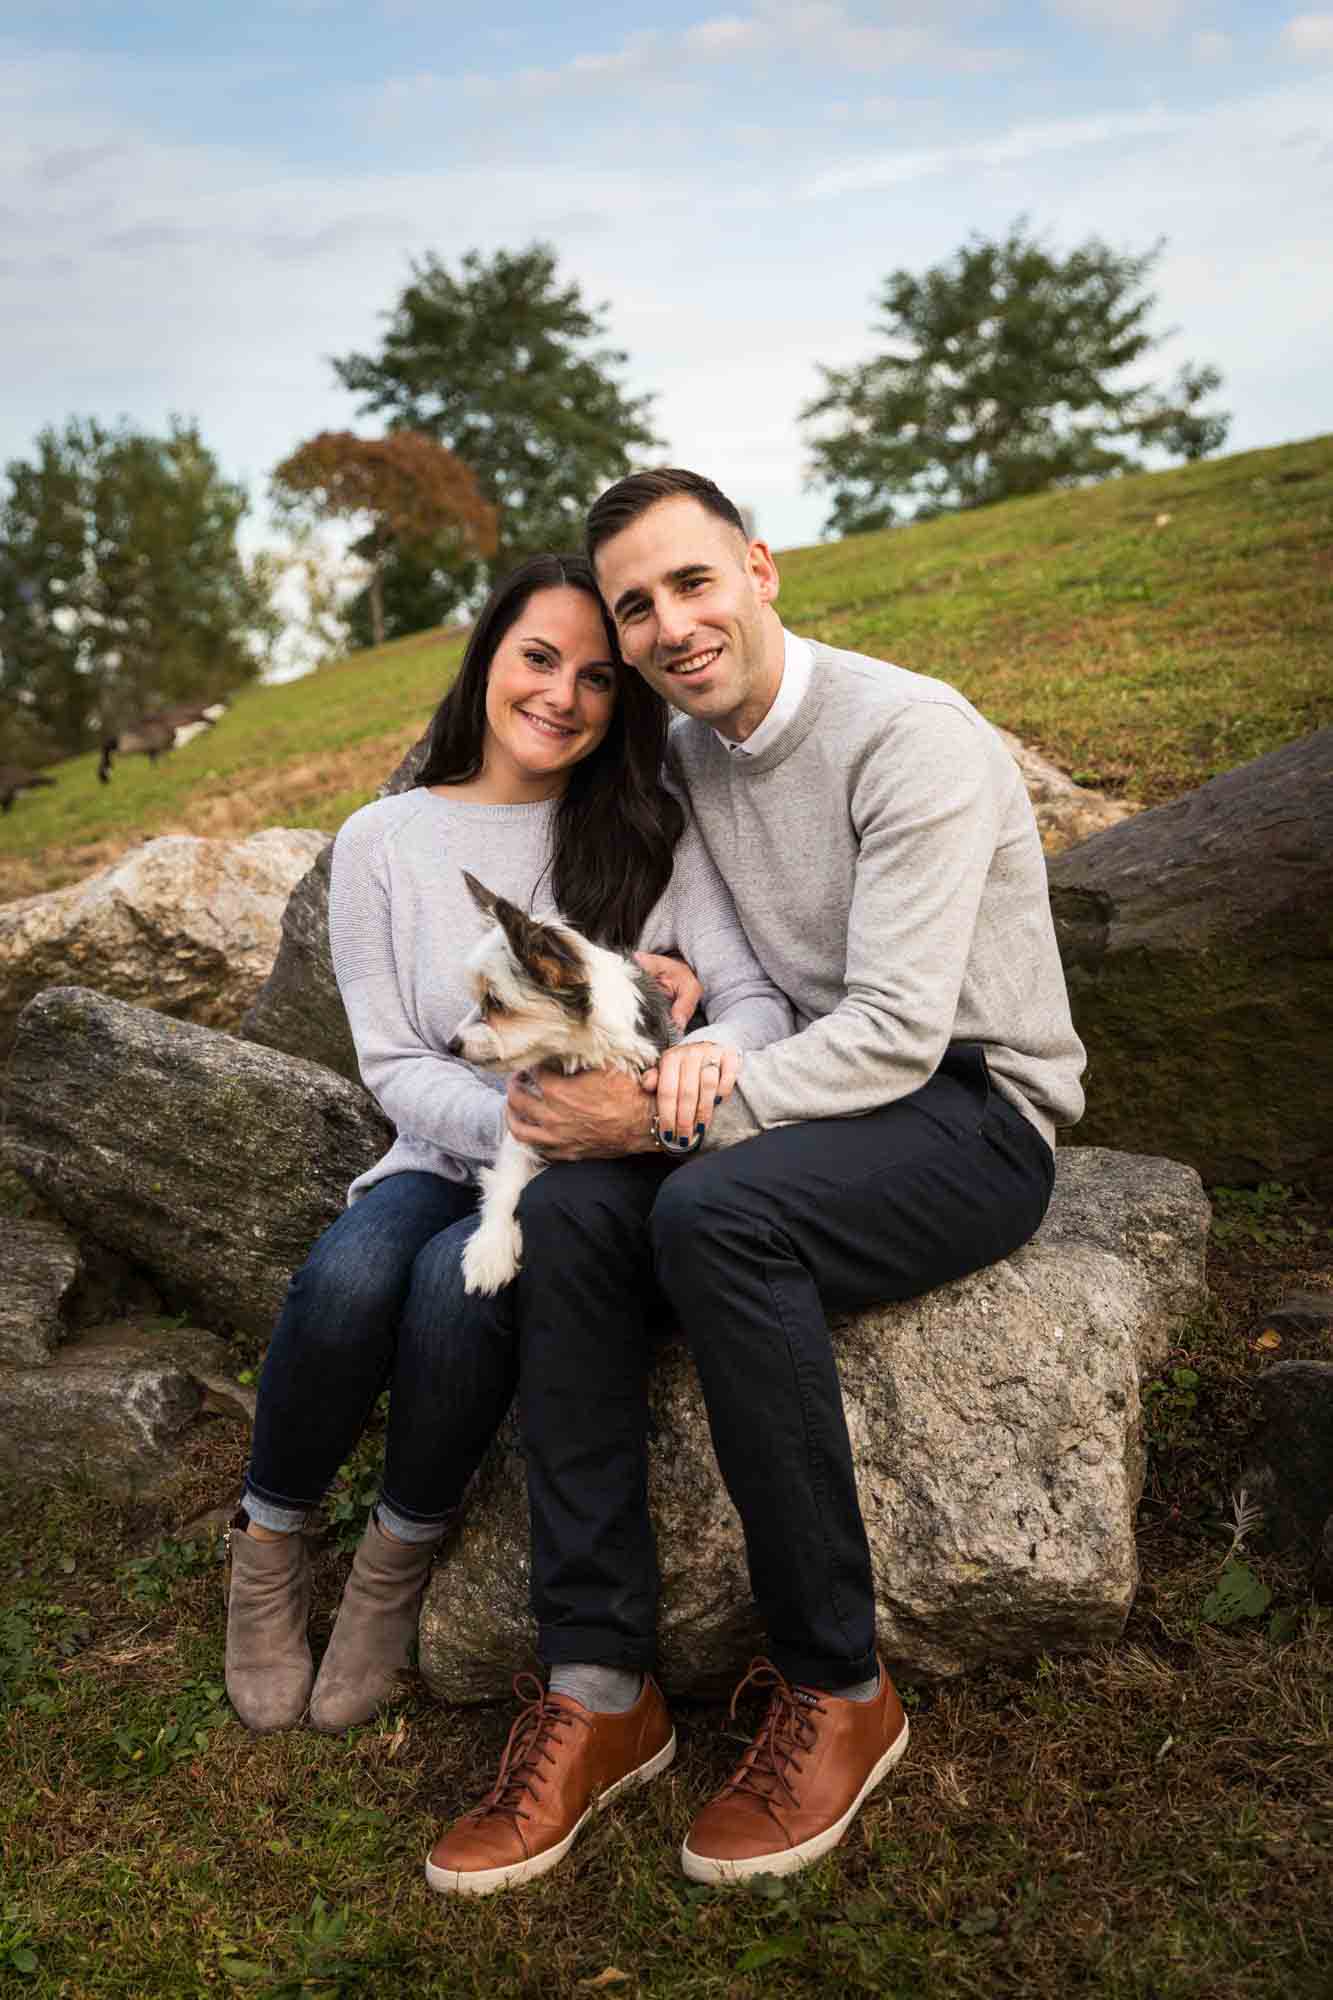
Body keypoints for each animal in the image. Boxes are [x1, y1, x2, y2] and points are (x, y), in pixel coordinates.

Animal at [448, 876, 676, 1296]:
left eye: (495, 1002)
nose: (451, 1045)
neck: (578, 1051)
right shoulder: (526, 1121)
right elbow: (507, 1182)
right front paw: (491, 1249)